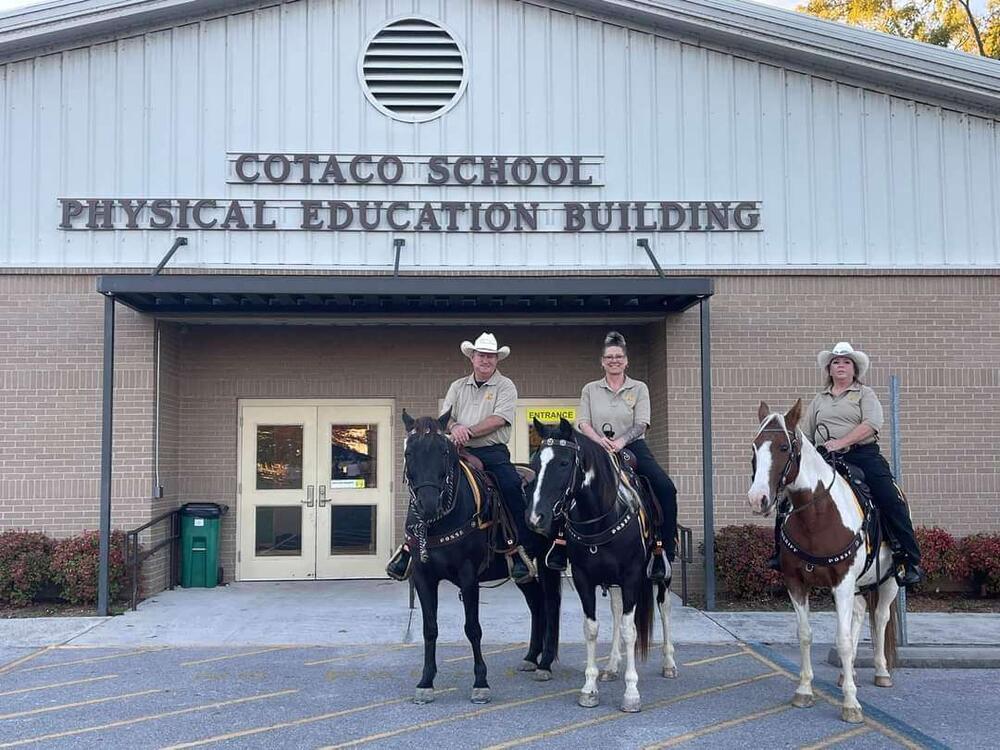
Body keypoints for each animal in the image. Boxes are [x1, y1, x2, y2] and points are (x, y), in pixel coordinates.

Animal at [402, 408, 568, 708]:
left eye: (443, 451)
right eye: (409, 453)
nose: (428, 504)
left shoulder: (468, 576)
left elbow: (473, 628)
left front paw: (481, 682)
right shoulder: (423, 576)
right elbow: (429, 628)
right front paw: (425, 682)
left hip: (548, 562)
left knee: (550, 605)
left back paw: (545, 663)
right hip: (522, 571)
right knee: (536, 604)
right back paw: (531, 657)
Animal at [528, 420, 676, 712]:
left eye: (563, 463)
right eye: (535, 463)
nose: (536, 518)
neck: (602, 515)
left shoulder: (632, 577)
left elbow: (630, 631)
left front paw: (631, 693)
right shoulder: (584, 579)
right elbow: (592, 629)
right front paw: (590, 687)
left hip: (662, 575)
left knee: (664, 609)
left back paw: (668, 663)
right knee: (617, 611)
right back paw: (612, 666)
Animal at [752, 402, 900, 724]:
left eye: (784, 447)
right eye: (754, 446)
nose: (757, 499)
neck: (816, 517)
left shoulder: (842, 582)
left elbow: (841, 639)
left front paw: (851, 704)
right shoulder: (796, 583)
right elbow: (805, 635)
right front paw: (805, 690)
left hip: (891, 581)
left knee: (880, 617)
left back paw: (881, 672)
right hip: (858, 585)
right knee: (860, 613)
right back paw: (848, 674)